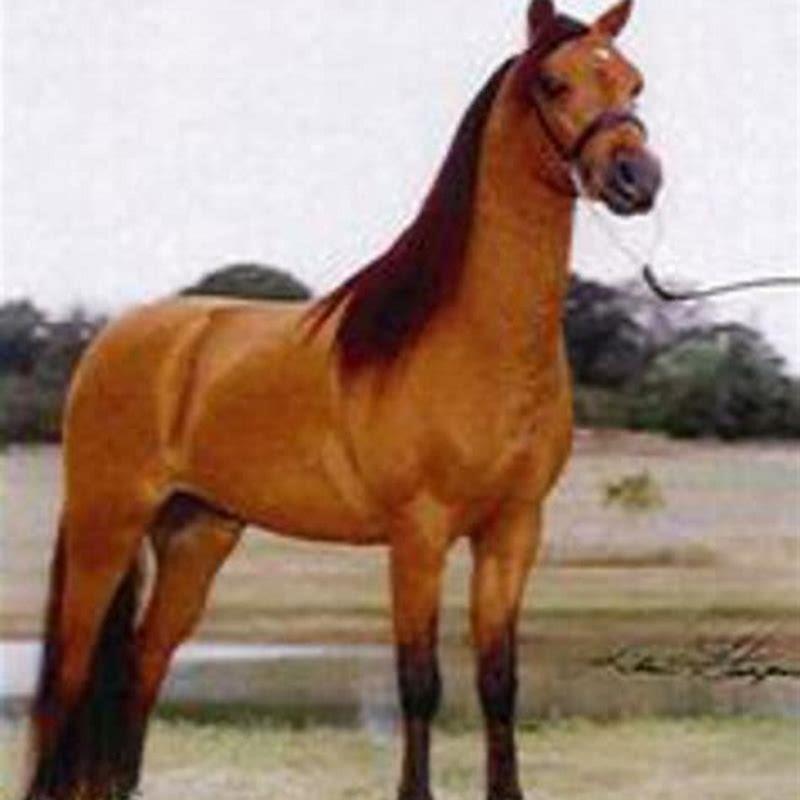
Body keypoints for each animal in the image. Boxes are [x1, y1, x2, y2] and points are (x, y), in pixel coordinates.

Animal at [23, 1, 661, 798]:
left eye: (634, 83)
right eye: (554, 82)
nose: (638, 176)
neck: (475, 340)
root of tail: (118, 338)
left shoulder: (514, 531)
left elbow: (498, 683)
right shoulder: (418, 534)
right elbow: (420, 683)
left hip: (197, 533)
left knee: (143, 665)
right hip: (105, 525)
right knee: (69, 679)